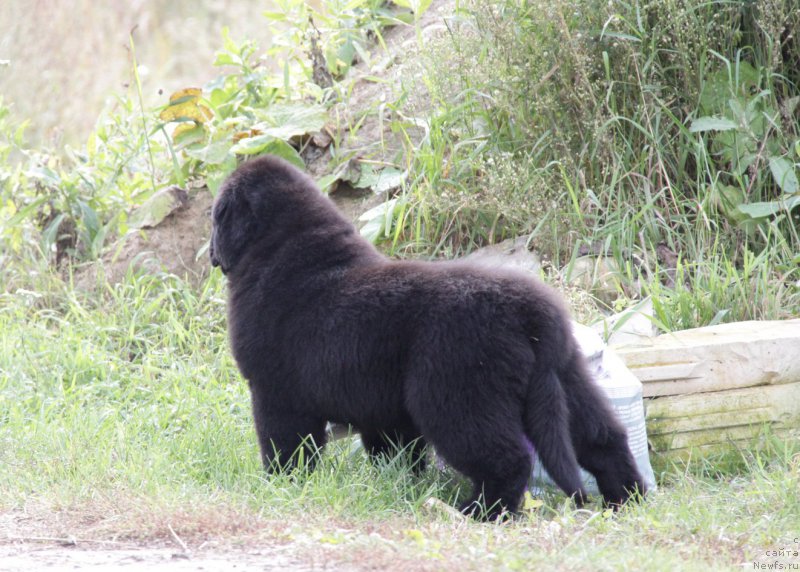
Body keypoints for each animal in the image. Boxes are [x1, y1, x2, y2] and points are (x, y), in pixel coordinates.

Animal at [209, 155, 648, 520]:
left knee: (508, 460)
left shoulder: (276, 392)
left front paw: (282, 485)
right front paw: (395, 484)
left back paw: (479, 513)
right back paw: (626, 501)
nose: (211, 252)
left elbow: (286, 447)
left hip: (455, 396)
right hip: (569, 378)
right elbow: (394, 454)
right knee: (605, 439)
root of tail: (532, 310)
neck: (284, 250)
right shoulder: (382, 409)